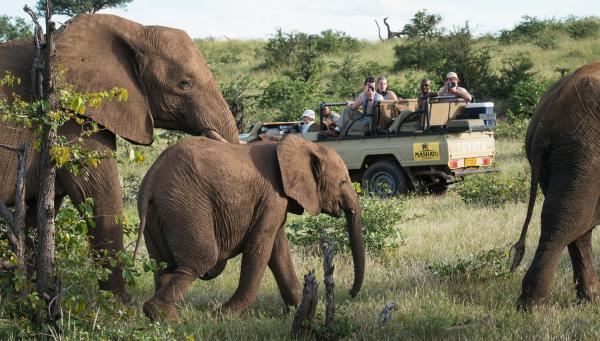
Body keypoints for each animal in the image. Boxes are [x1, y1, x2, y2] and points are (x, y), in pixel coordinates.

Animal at [0, 13, 239, 300]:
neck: (134, 29)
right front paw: (121, 306)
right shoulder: (73, 116)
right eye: (185, 83)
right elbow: (100, 199)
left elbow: (38, 216)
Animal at [132, 134, 366, 320]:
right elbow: (260, 246)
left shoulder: (275, 201)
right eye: (343, 182)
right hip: (185, 206)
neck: (298, 144)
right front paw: (223, 316)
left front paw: (302, 311)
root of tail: (151, 179)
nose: (350, 293)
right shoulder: (272, 196)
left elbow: (278, 250)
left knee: (162, 265)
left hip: (158, 214)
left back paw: (162, 316)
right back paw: (169, 318)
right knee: (202, 259)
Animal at [510, 61, 600, 308]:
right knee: (566, 221)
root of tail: (544, 119)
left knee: (575, 224)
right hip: (582, 152)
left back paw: (590, 298)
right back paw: (531, 306)